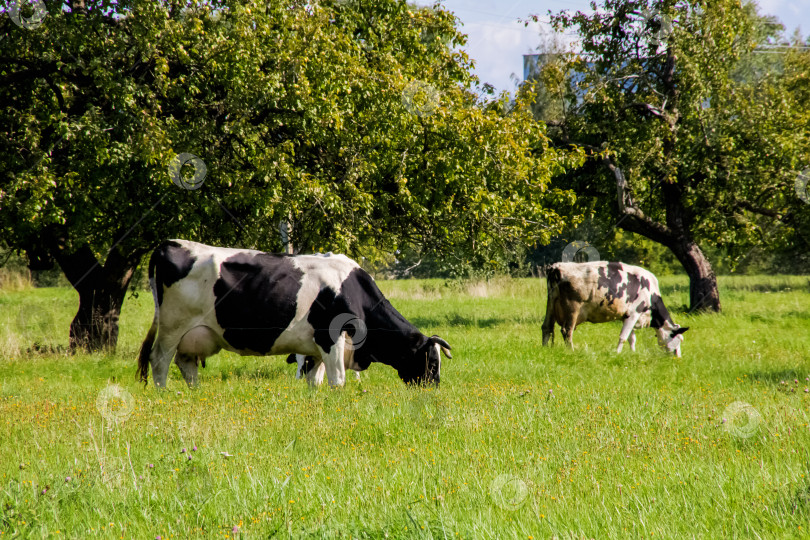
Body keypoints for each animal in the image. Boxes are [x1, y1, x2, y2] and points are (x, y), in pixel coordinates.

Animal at [140, 240, 454, 388]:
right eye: (432, 363)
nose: (434, 389)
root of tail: (170, 243)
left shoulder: (314, 350)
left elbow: (314, 381)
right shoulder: (331, 339)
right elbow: (337, 380)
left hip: (192, 335)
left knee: (186, 365)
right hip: (172, 327)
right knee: (159, 362)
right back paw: (164, 394)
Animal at [544, 260, 688, 356]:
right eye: (679, 339)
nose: (678, 357)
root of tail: (557, 266)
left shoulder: (627, 316)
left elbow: (631, 338)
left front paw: (632, 353)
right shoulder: (634, 313)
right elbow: (623, 336)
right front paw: (617, 353)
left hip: (550, 303)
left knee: (547, 327)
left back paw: (545, 348)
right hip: (573, 308)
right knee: (567, 330)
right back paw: (571, 351)